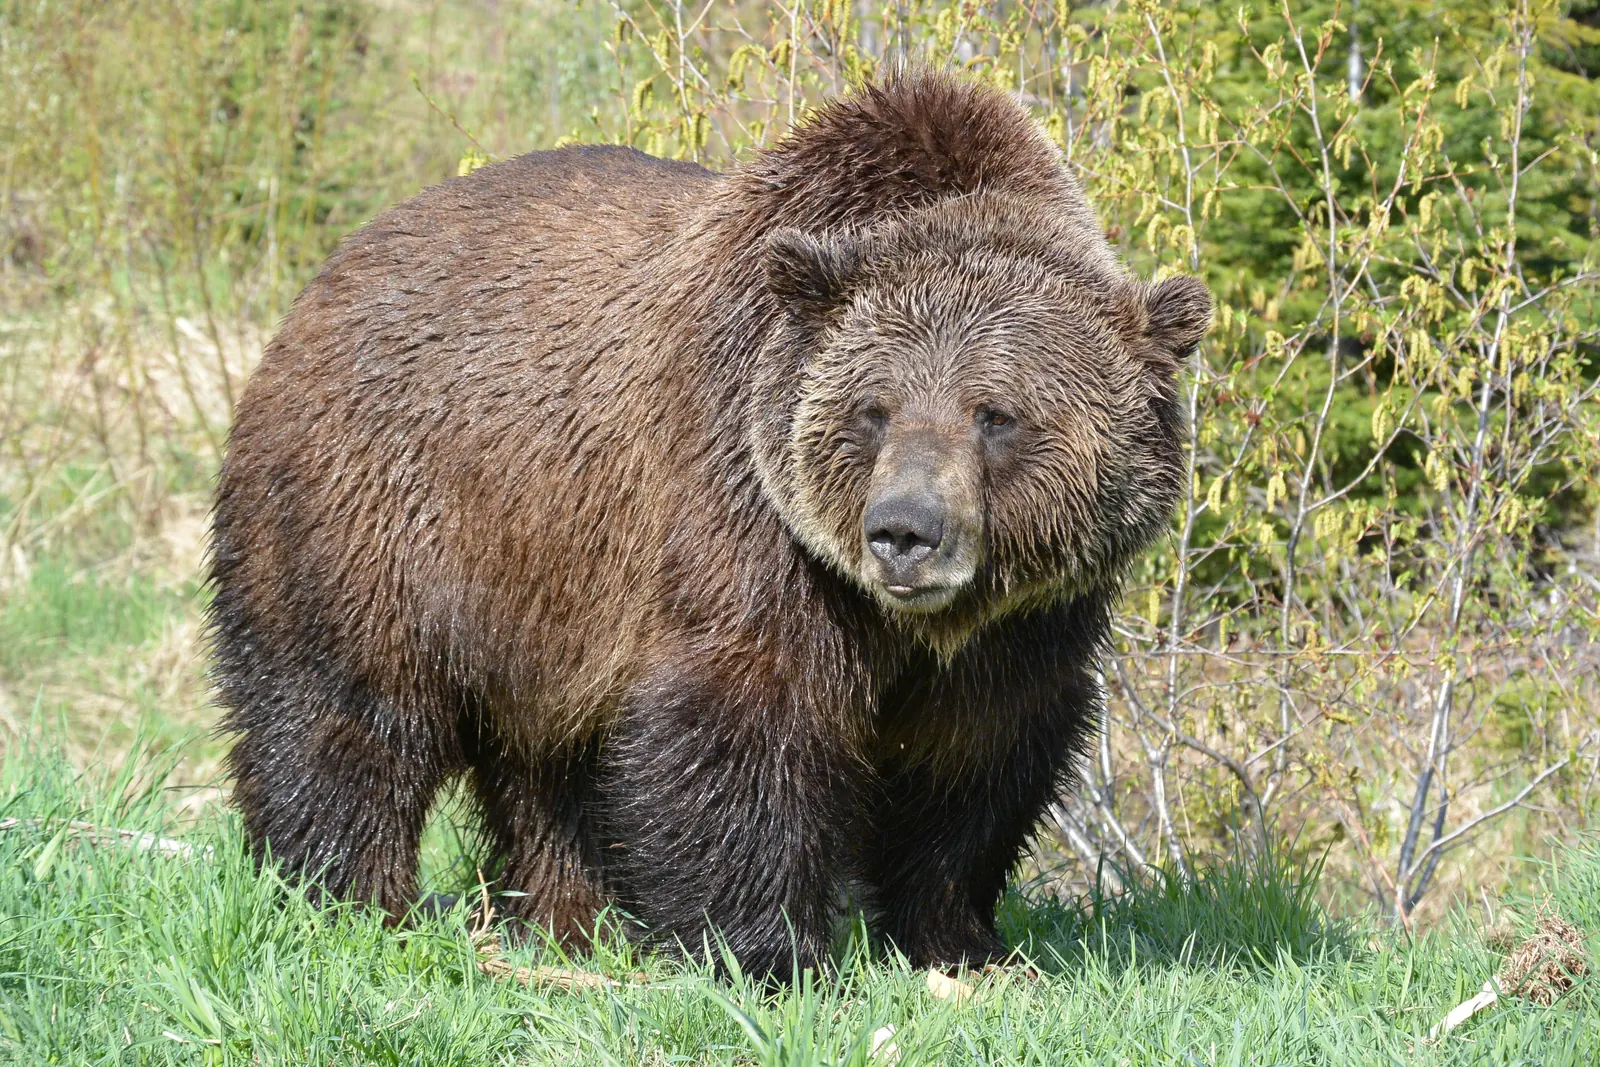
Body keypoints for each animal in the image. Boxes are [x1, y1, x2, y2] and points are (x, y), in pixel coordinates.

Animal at [209, 70, 1211, 977]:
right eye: (874, 410)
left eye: (995, 413)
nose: (904, 530)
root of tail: (328, 275)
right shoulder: (746, 509)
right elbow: (742, 717)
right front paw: (765, 951)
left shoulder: (1029, 616)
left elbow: (979, 755)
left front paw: (962, 941)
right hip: (382, 505)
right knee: (344, 712)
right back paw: (350, 899)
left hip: (544, 591)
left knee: (547, 763)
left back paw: (574, 920)